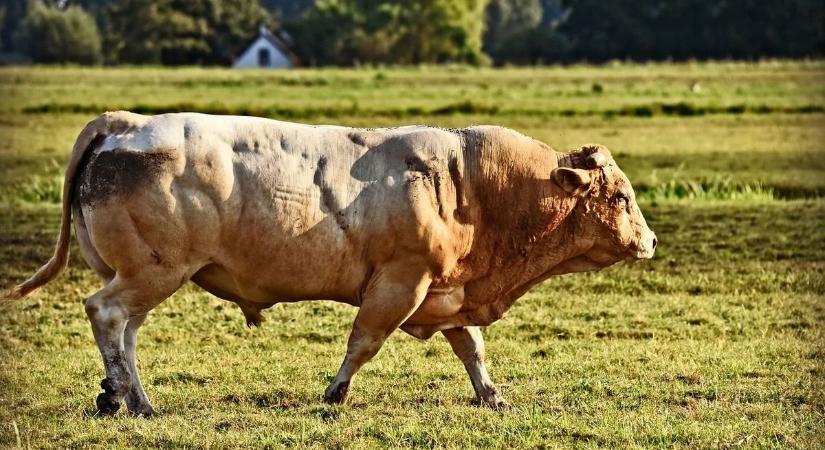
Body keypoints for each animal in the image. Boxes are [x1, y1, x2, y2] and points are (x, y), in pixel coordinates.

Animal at [1, 112, 656, 414]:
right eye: (621, 197)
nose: (649, 241)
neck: (471, 186)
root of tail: (128, 124)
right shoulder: (402, 281)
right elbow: (364, 341)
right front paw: (336, 392)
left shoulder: (447, 290)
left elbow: (471, 348)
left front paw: (491, 394)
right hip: (151, 272)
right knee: (107, 316)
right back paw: (125, 397)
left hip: (146, 274)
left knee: (125, 330)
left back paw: (129, 396)